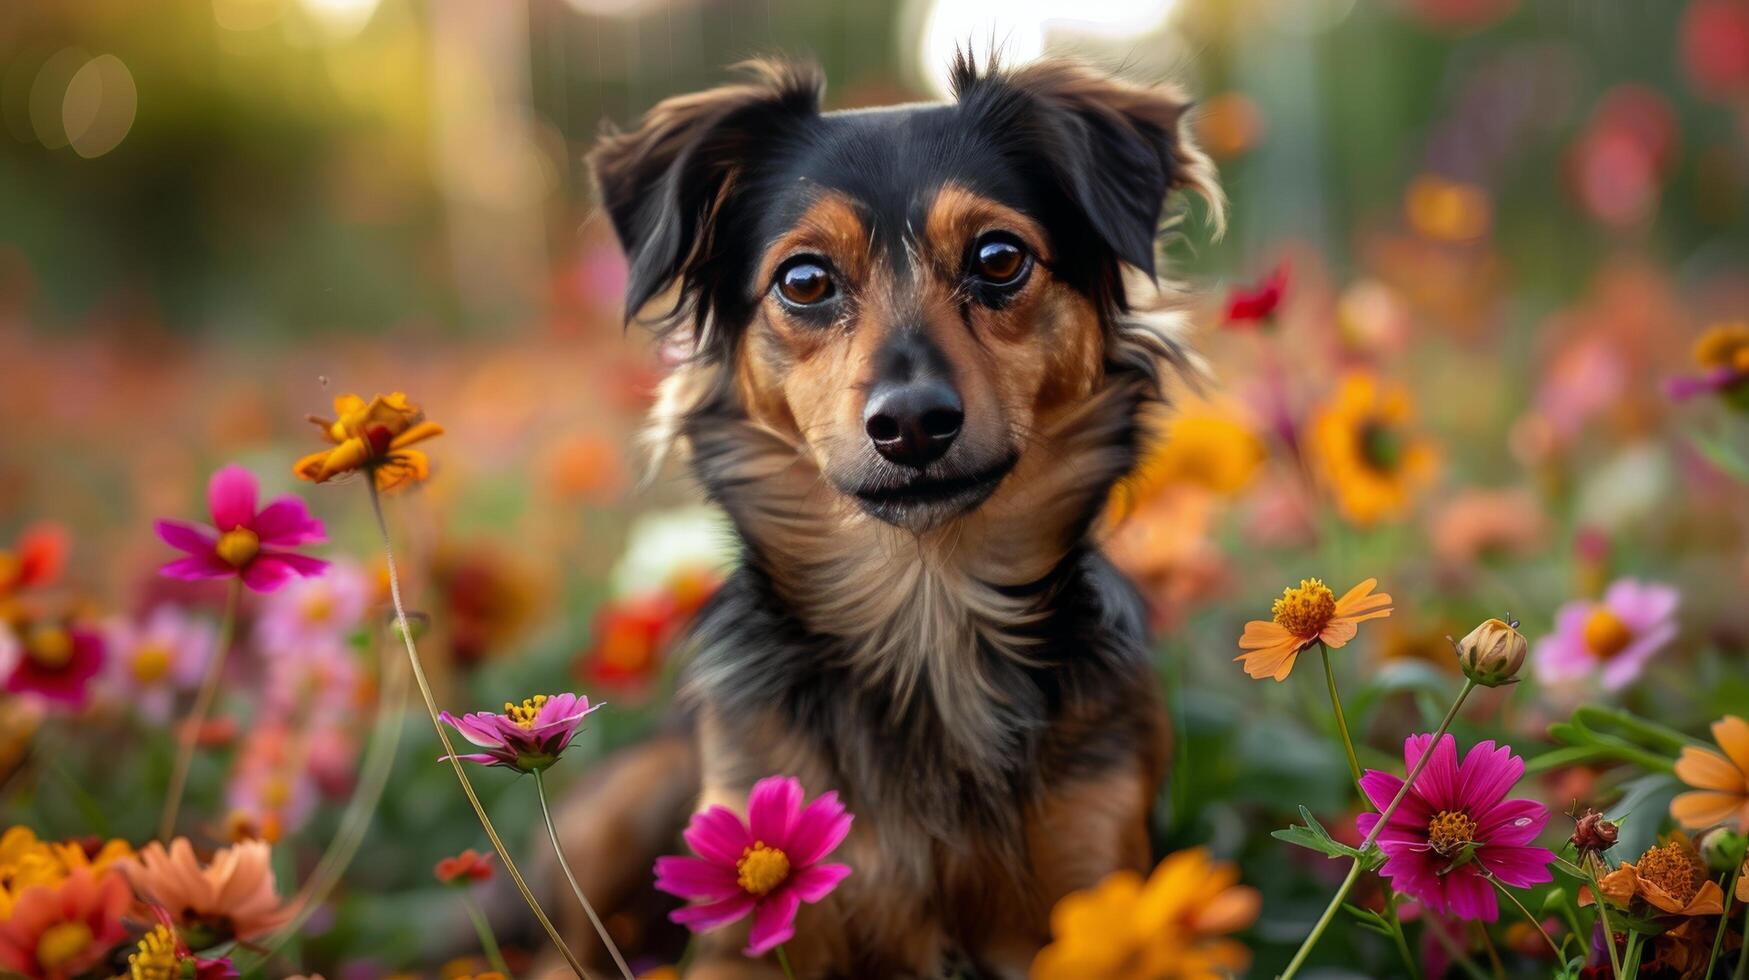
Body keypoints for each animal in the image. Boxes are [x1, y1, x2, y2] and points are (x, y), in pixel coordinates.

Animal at [552, 51, 1224, 980]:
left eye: (999, 257)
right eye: (803, 279)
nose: (910, 421)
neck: (924, 604)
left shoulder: (1091, 868)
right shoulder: (743, 920)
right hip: (620, 807)